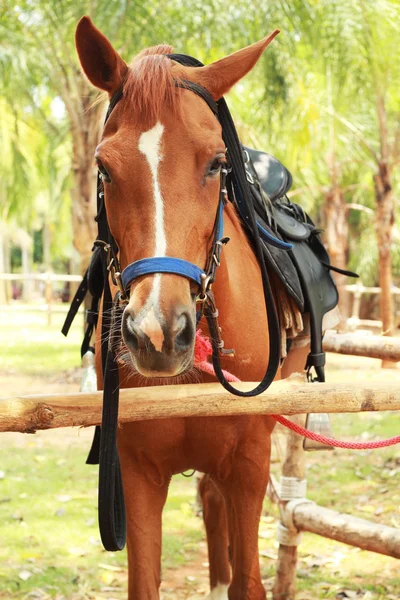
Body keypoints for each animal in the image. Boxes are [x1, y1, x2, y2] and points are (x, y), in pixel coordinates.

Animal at [73, 15, 308, 600]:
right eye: (103, 169)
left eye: (217, 164)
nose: (158, 333)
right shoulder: (136, 472)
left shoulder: (249, 464)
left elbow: (250, 583)